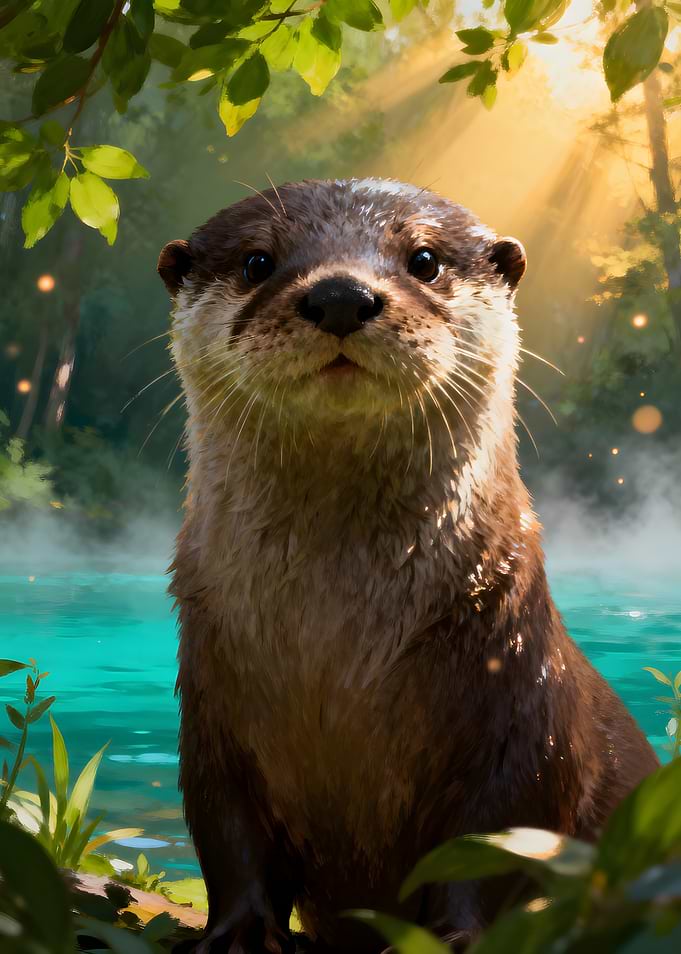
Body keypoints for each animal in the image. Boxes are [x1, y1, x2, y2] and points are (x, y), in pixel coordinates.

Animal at [158, 179, 658, 954]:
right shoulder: (213, 710)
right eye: (256, 261)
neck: (335, 641)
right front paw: (237, 933)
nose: (339, 295)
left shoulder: (517, 700)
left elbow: (496, 837)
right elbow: (227, 832)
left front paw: (453, 937)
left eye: (423, 259)